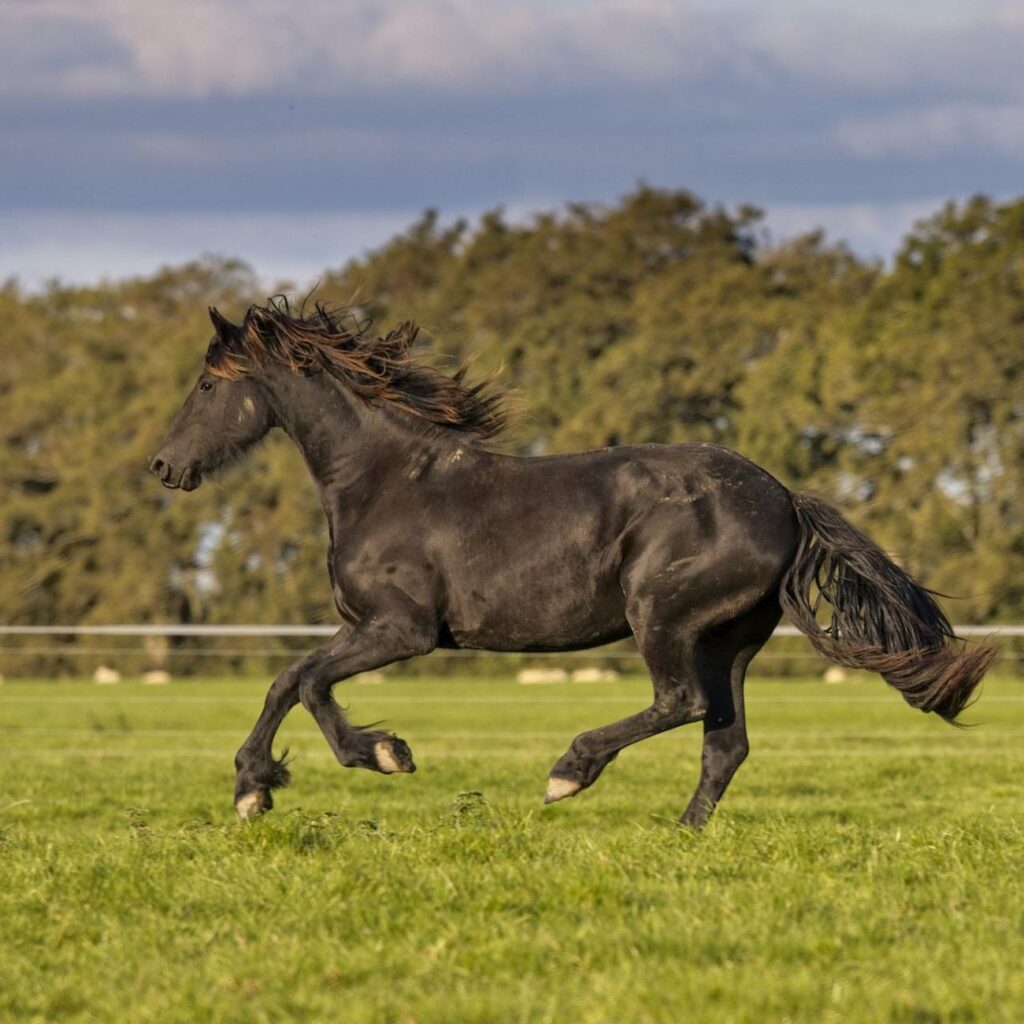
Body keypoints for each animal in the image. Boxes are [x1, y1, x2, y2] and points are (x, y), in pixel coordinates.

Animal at [153, 299, 999, 827]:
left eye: (205, 384)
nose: (164, 465)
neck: (386, 480)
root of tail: (785, 499)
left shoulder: (401, 630)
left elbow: (306, 682)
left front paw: (377, 756)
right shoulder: (369, 628)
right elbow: (289, 681)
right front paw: (256, 789)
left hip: (662, 618)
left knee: (681, 704)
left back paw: (568, 772)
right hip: (730, 639)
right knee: (724, 740)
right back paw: (681, 833)